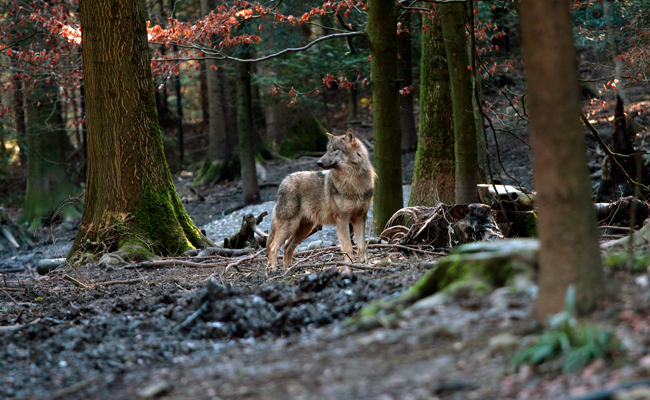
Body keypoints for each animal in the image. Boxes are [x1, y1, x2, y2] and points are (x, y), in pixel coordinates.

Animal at [267, 129, 375, 270]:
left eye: (334, 149)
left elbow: (361, 246)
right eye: (327, 150)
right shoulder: (342, 219)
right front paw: (349, 265)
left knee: (286, 247)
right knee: (273, 246)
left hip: (304, 229)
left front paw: (363, 264)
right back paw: (274, 269)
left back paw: (288, 269)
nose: (318, 162)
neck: (353, 181)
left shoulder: (360, 218)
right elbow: (348, 247)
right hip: (289, 226)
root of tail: (284, 181)